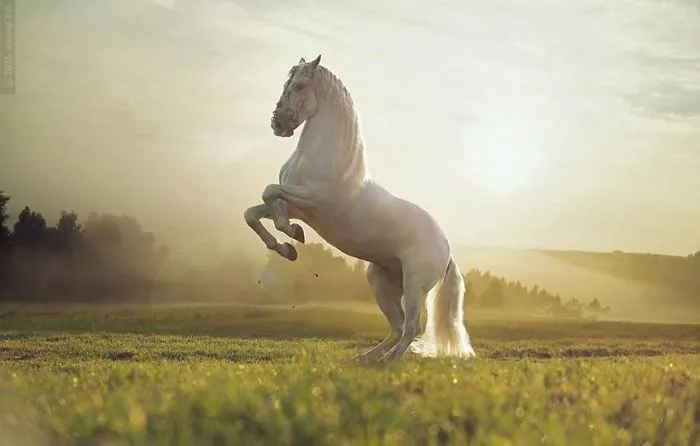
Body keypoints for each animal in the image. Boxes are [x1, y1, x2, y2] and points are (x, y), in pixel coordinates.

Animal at [243, 55, 475, 362]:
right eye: (286, 83)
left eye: (300, 85)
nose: (277, 124)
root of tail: (446, 250)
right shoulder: (295, 206)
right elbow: (254, 212)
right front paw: (287, 247)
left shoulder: (313, 200)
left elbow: (270, 192)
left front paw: (292, 235)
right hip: (381, 282)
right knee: (397, 327)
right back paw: (365, 359)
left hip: (414, 286)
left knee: (411, 327)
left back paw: (390, 363)